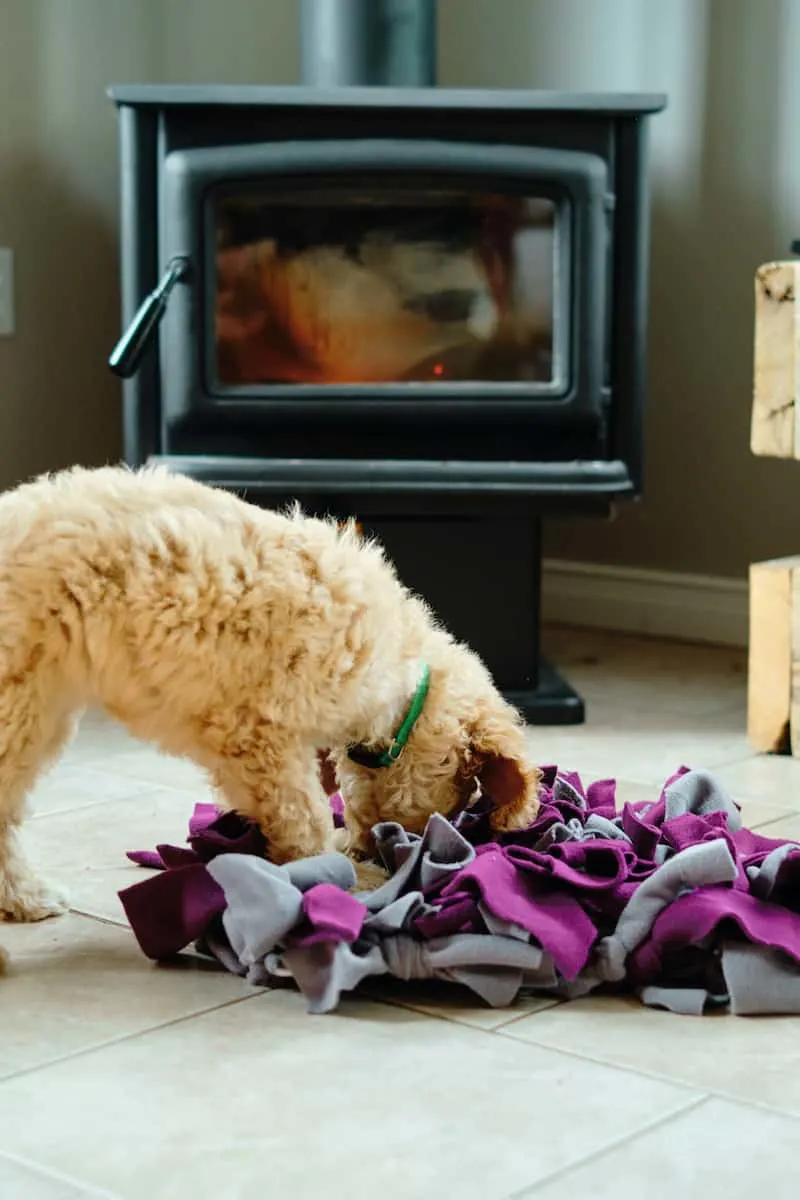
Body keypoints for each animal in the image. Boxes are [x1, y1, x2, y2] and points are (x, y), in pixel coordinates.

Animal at [0, 463, 542, 921]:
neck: (401, 682)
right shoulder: (261, 735)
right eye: (460, 797)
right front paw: (345, 876)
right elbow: (305, 815)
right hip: (21, 705)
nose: (404, 847)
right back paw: (29, 896)